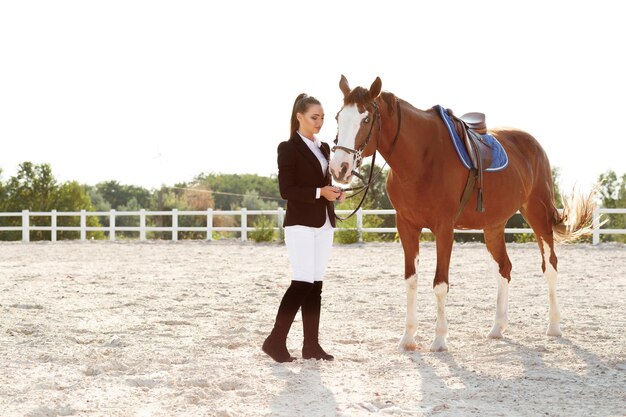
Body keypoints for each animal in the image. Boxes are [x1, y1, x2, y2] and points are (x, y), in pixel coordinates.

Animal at [326, 75, 596, 352]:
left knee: (549, 265)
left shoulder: (444, 228)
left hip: (537, 214)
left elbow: (440, 284)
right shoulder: (406, 226)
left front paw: (439, 339)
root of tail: (534, 146)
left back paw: (553, 326)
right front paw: (408, 337)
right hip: (494, 225)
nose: (339, 168)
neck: (422, 158)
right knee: (504, 268)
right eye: (338, 117)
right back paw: (497, 328)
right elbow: (411, 280)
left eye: (366, 119)